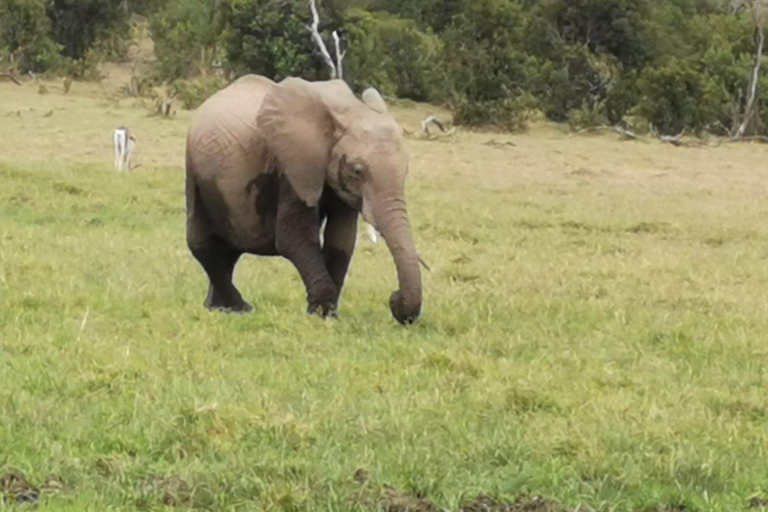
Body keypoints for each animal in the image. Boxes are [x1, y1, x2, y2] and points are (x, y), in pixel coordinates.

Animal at [187, 75, 426, 324]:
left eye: (406, 170)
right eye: (357, 171)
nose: (394, 298)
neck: (348, 109)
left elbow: (341, 241)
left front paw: (329, 315)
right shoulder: (293, 165)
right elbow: (294, 236)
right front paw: (320, 315)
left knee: (229, 250)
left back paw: (217, 308)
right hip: (195, 170)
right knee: (201, 242)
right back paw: (240, 308)